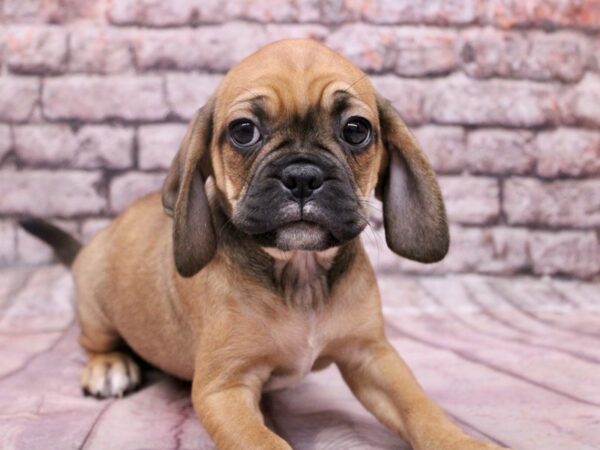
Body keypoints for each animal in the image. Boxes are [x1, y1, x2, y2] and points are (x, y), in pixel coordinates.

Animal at [21, 40, 504, 448]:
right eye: (243, 131)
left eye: (356, 129)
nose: (303, 176)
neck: (300, 273)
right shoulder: (224, 390)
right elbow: (265, 442)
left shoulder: (373, 357)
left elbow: (422, 408)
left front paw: (460, 440)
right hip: (97, 310)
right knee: (94, 341)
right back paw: (110, 365)